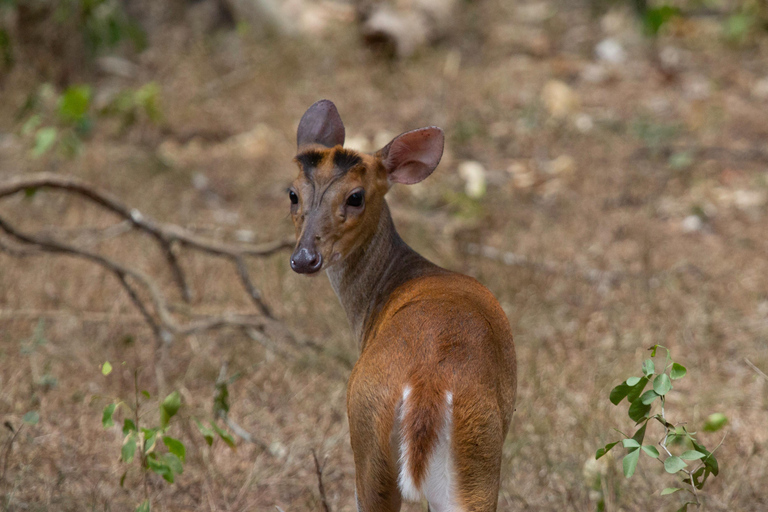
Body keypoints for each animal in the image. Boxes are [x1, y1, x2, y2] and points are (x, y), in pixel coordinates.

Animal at [286, 98, 516, 510]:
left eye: (356, 196)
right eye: (292, 193)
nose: (304, 258)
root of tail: (427, 384)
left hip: (370, 432)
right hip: (477, 448)